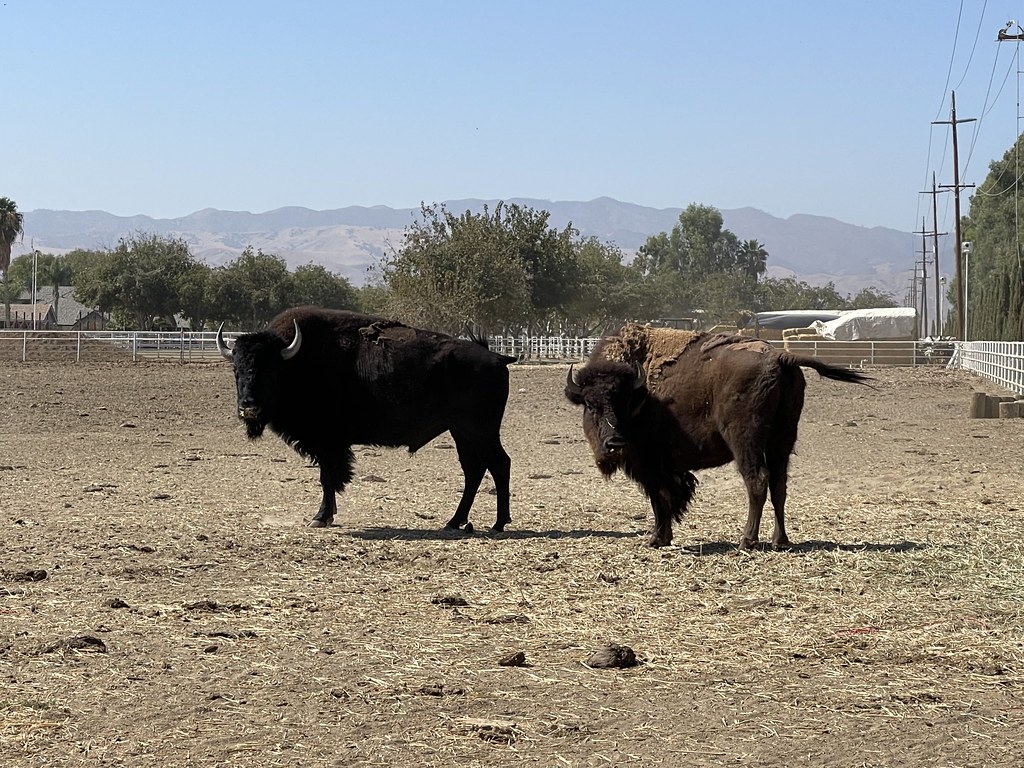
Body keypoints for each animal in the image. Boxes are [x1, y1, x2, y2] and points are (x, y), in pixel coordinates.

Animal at [218, 307, 516, 532]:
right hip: (461, 432)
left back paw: (498, 524)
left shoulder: (329, 443)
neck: (296, 362)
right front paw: (327, 515)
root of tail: (496, 357)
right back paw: (454, 522)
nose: (248, 407)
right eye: (236, 369)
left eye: (270, 369)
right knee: (474, 469)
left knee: (499, 464)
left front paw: (320, 518)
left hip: (481, 430)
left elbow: (328, 477)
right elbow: (330, 478)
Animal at [565, 324, 872, 549]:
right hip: (782, 440)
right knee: (779, 485)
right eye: (590, 404)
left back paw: (747, 540)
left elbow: (659, 497)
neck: (641, 397)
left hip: (744, 440)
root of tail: (779, 357)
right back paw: (779, 541)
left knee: (757, 480)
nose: (614, 444)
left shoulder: (650, 463)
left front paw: (656, 539)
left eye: (624, 402)